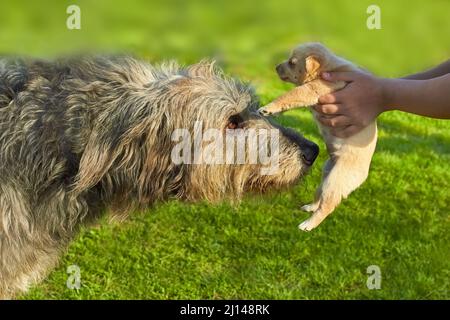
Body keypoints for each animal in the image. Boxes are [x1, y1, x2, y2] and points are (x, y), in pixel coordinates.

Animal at [258, 43, 378, 232]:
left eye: (292, 62)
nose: (276, 67)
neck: (328, 68)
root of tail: (364, 175)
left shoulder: (316, 88)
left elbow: (292, 94)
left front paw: (268, 108)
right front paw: (273, 112)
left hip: (335, 181)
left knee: (327, 206)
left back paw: (308, 224)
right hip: (327, 173)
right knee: (320, 196)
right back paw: (310, 207)